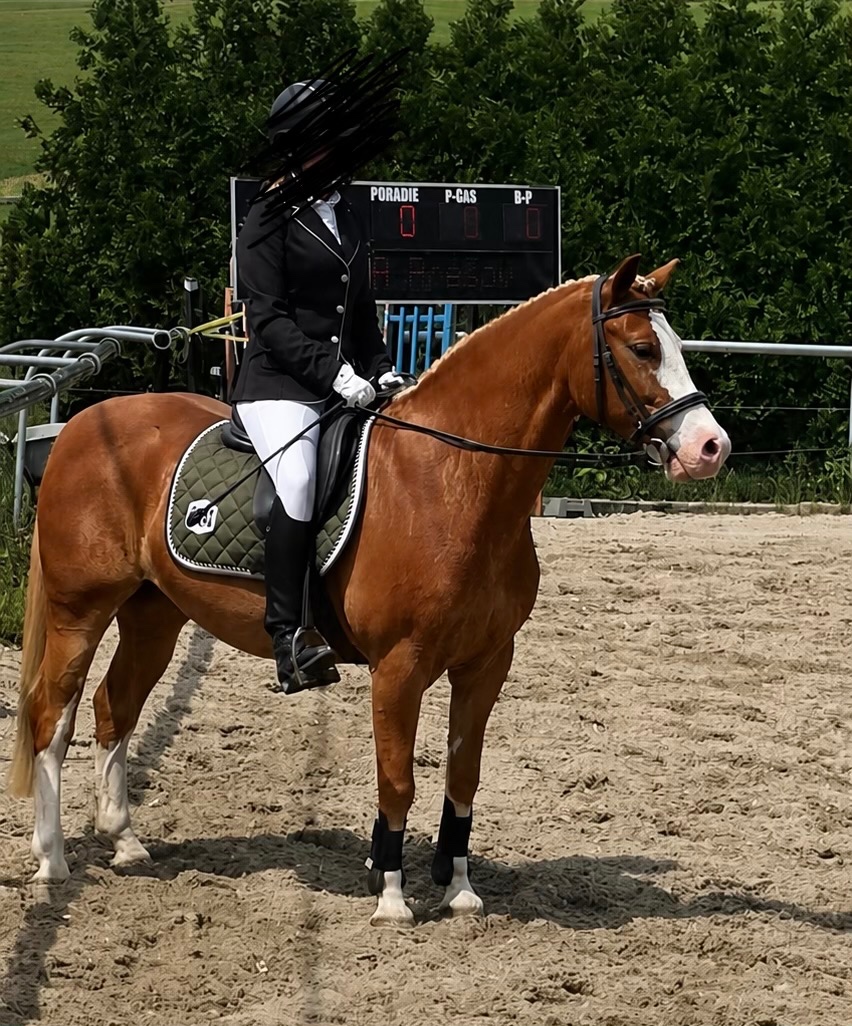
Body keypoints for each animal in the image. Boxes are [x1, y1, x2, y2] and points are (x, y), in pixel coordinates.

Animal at [7, 255, 730, 925]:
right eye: (642, 349)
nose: (711, 447)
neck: (450, 478)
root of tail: (84, 425)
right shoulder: (399, 667)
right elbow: (398, 779)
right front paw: (391, 898)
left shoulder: (486, 663)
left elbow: (462, 775)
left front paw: (460, 890)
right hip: (80, 611)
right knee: (51, 715)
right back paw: (52, 861)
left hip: (154, 616)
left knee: (113, 707)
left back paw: (125, 842)